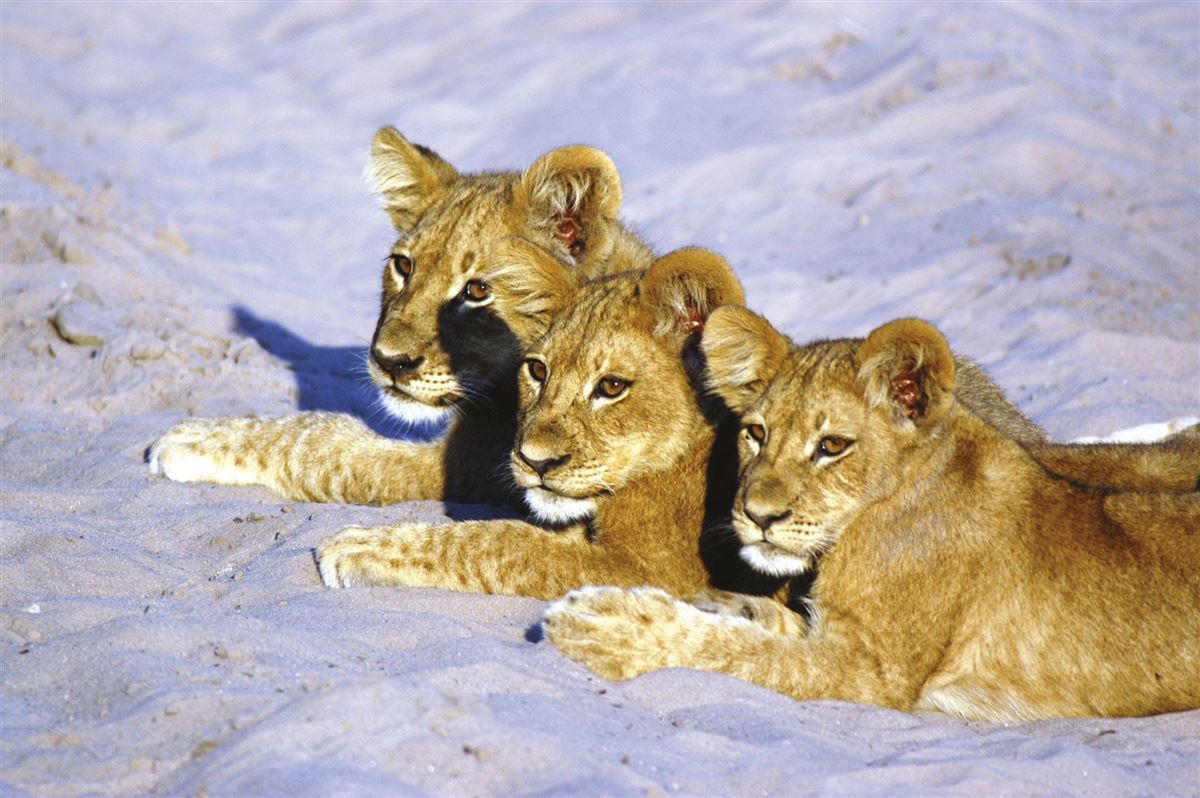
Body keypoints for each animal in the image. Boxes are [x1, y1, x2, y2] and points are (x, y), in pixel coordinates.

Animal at [148, 127, 652, 507]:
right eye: (403, 266)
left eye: (477, 291)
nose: (389, 361)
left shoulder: (470, 467)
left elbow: (318, 443)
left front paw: (192, 439)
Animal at [544, 310, 1200, 721]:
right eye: (756, 433)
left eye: (832, 446)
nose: (757, 515)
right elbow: (765, 626)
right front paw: (724, 604)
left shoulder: (873, 674)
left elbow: (740, 654)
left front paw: (606, 624)